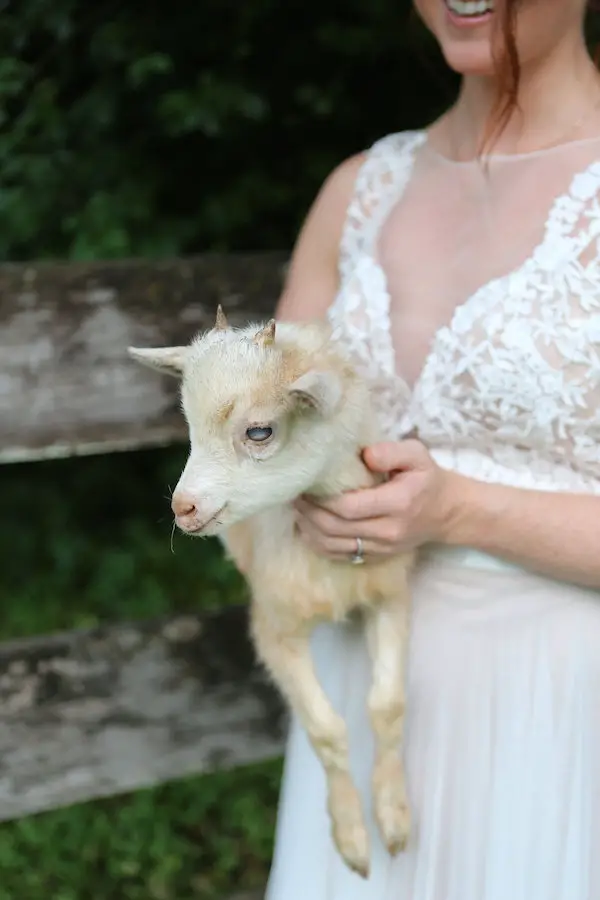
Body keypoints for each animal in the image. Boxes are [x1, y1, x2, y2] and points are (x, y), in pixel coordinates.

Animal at [129, 306, 414, 876]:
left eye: (258, 431)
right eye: (188, 426)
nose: (183, 508)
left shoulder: (388, 595)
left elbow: (387, 706)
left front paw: (393, 818)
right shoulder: (275, 626)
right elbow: (326, 729)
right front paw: (351, 837)